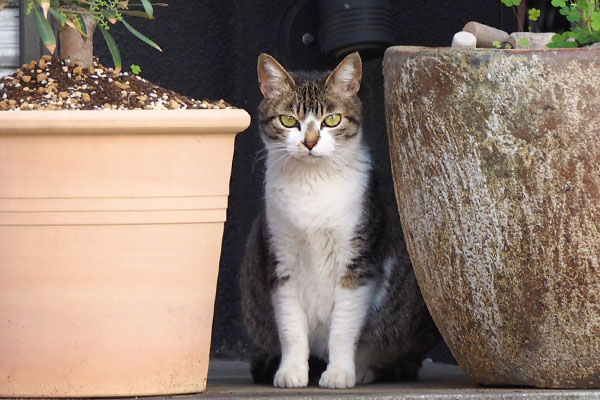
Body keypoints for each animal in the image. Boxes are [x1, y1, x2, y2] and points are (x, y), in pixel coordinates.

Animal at [239, 51, 440, 390]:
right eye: (288, 120)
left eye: (331, 120)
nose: (309, 142)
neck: (312, 185)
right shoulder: (281, 261)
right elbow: (291, 327)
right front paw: (291, 371)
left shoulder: (357, 264)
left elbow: (344, 329)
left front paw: (339, 373)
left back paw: (365, 369)